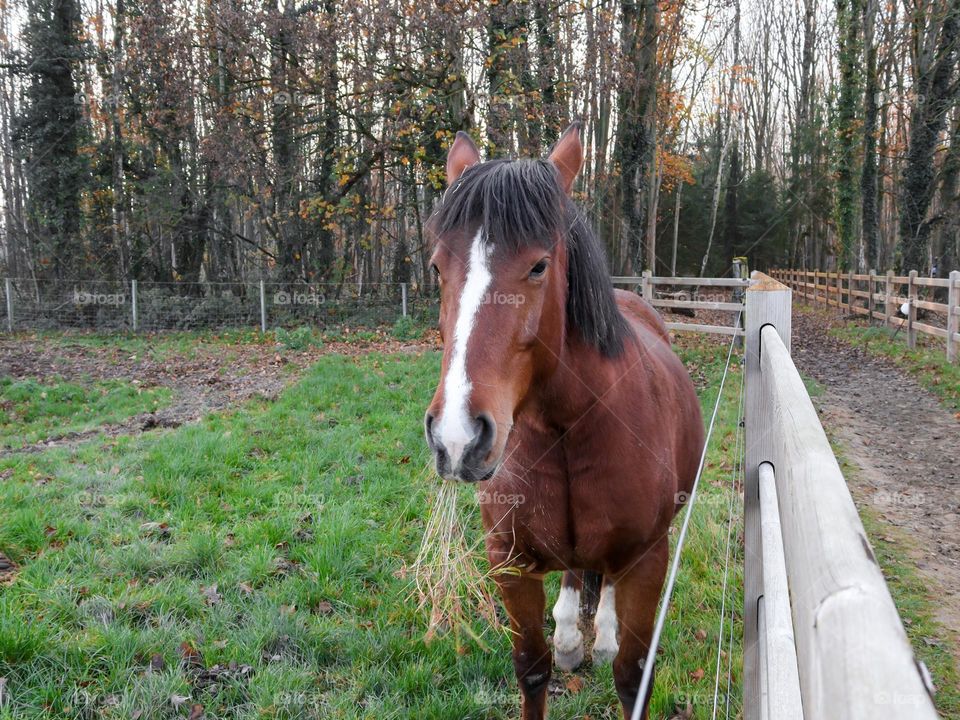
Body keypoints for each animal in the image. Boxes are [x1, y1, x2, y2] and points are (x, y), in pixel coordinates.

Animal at [424, 125, 700, 720]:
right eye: (437, 268)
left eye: (538, 265)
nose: (457, 437)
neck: (566, 428)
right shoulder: (508, 566)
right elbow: (532, 667)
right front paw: (563, 641)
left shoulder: (648, 562)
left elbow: (631, 676)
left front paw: (610, 641)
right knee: (577, 572)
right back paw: (573, 634)